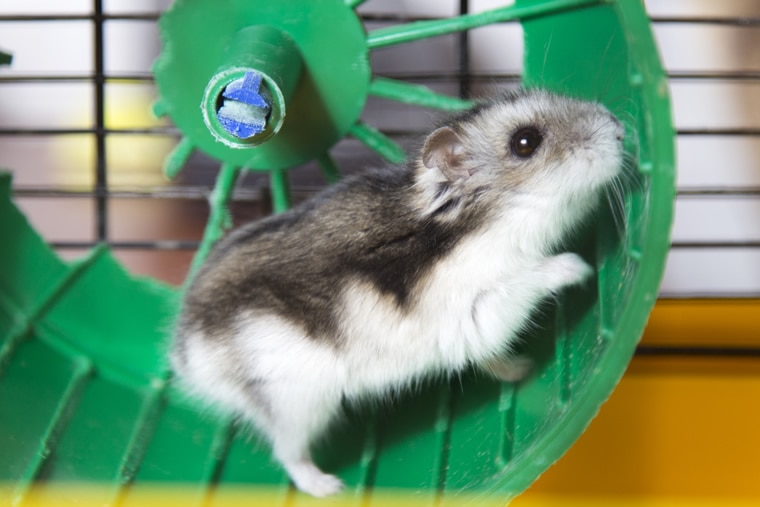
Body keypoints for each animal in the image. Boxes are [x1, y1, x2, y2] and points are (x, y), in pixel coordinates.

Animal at [170, 89, 625, 497]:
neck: (489, 221)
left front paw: (521, 369)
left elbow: (493, 357)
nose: (621, 130)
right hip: (297, 402)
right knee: (288, 454)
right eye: (525, 142)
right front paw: (580, 267)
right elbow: (532, 276)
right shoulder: (483, 305)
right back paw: (329, 487)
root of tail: (184, 354)